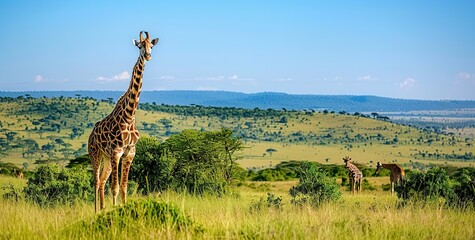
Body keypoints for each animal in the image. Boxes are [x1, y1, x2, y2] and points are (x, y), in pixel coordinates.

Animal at [87, 30, 158, 212]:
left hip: (106, 157)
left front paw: (123, 209)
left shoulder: (129, 153)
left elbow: (124, 187)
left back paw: (103, 209)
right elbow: (115, 188)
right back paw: (96, 211)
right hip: (95, 153)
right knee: (96, 181)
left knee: (102, 181)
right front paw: (116, 211)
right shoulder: (116, 152)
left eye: (151, 45)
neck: (129, 116)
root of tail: (91, 134)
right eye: (140, 46)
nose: (148, 56)